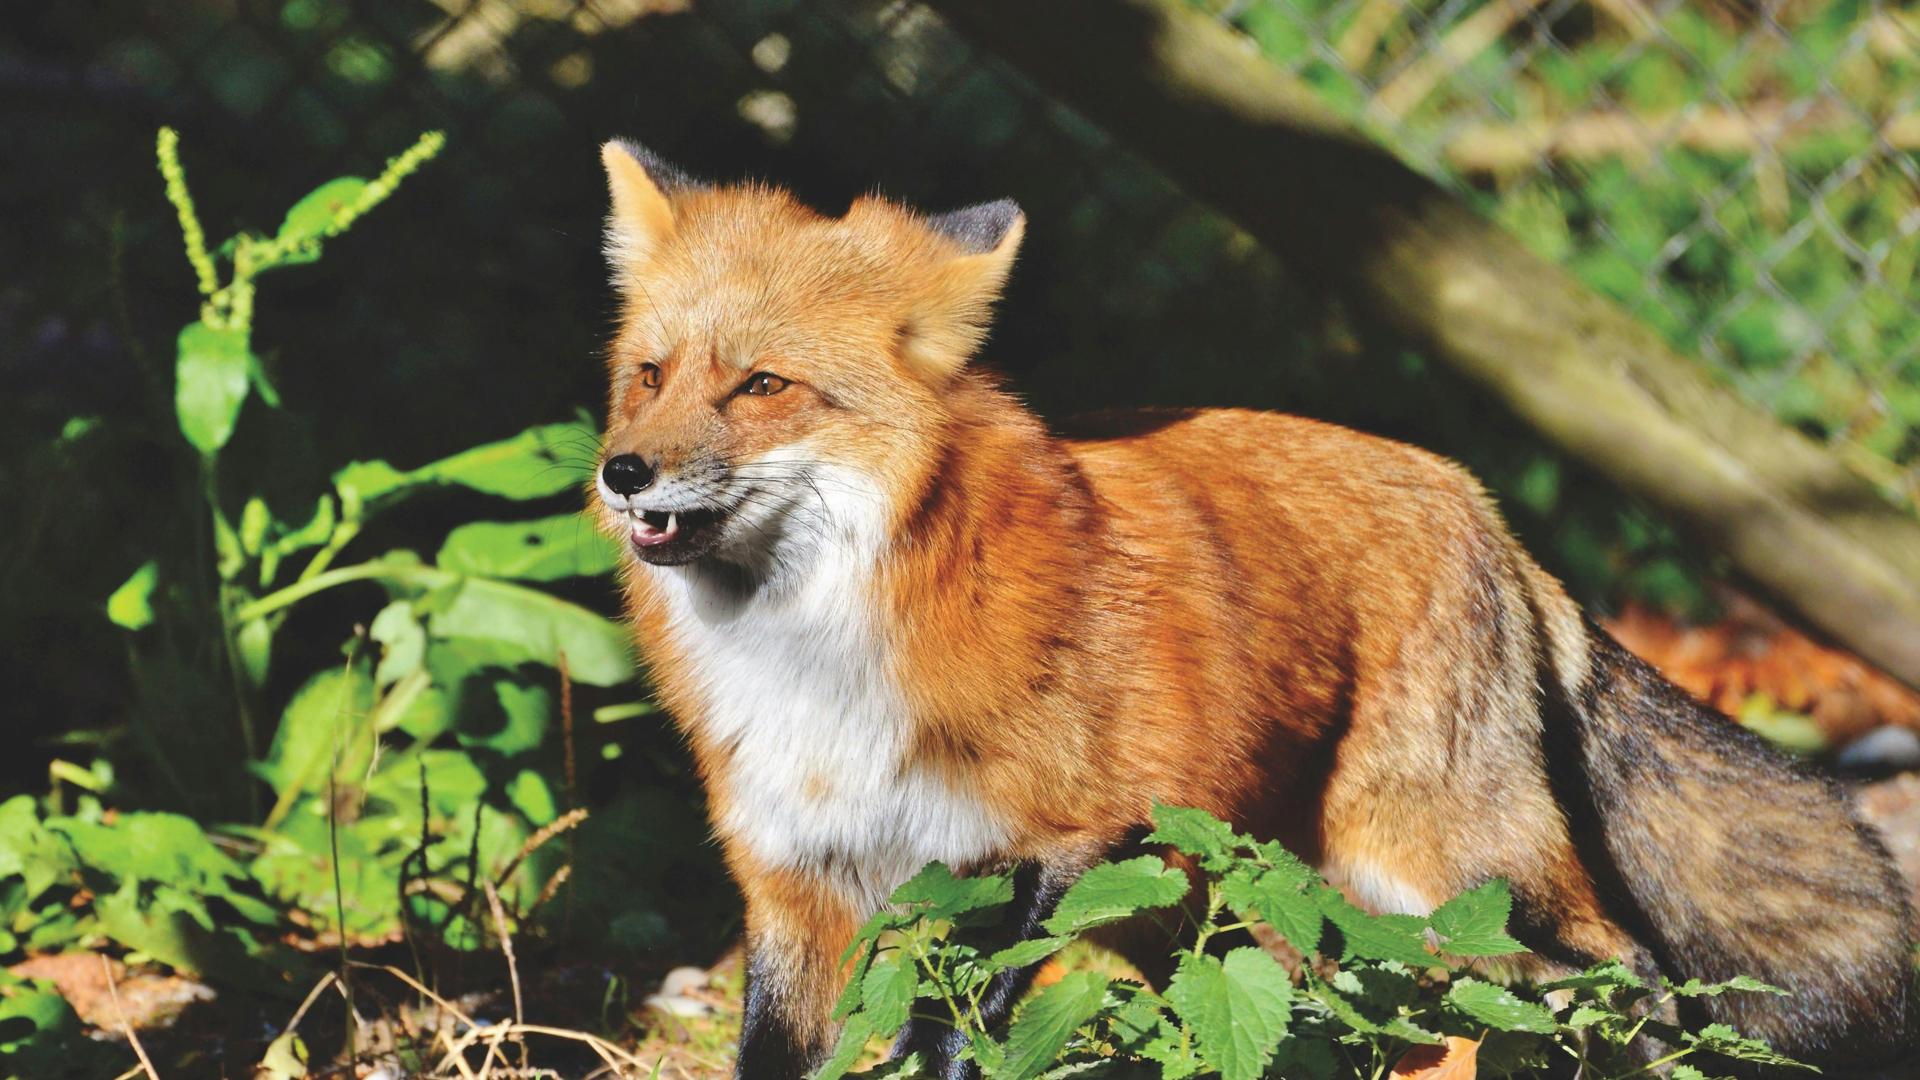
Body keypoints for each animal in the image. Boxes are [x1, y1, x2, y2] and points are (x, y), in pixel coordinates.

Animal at [589, 138, 1916, 1079]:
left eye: (763, 386)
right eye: (650, 374)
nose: (622, 473)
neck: (815, 660)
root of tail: (1474, 495)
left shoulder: (1054, 842)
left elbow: (951, 1037)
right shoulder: (795, 887)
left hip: (1439, 867)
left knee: (1620, 976)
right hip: (1238, 900)